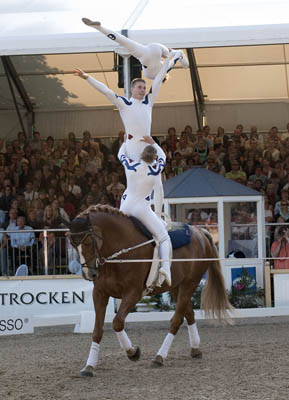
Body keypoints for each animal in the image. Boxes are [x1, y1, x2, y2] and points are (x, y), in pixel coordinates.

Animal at [65, 205, 232, 376]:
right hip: (176, 287)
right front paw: (89, 366)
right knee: (189, 313)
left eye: (88, 241)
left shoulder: (133, 293)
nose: (89, 274)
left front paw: (133, 352)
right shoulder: (99, 293)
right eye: (72, 243)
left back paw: (159, 357)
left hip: (190, 283)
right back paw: (195, 349)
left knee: (176, 320)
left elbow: (117, 322)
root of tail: (200, 231)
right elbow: (97, 331)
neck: (119, 251)